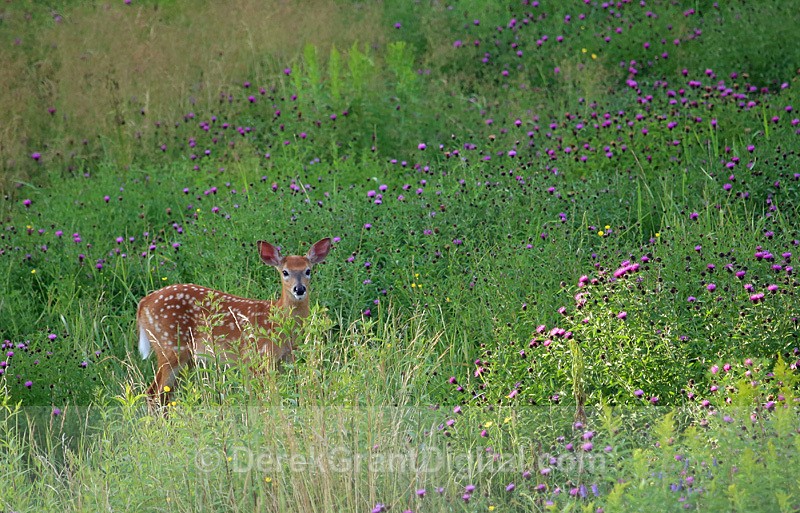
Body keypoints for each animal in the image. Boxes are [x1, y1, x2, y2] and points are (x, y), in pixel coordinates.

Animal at [136, 238, 331, 407]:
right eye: (285, 272)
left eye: (308, 271)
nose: (299, 289)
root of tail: (143, 303)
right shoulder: (256, 356)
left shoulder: (284, 360)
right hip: (169, 345)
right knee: (153, 394)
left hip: (184, 356)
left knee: (164, 395)